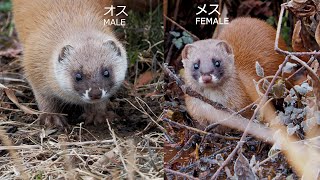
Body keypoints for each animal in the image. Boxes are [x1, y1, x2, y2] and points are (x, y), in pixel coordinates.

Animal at [12, 0, 127, 129]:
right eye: (78, 76)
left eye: (106, 72)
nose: (95, 93)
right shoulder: (34, 68)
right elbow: (44, 99)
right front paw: (51, 118)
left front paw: (98, 115)